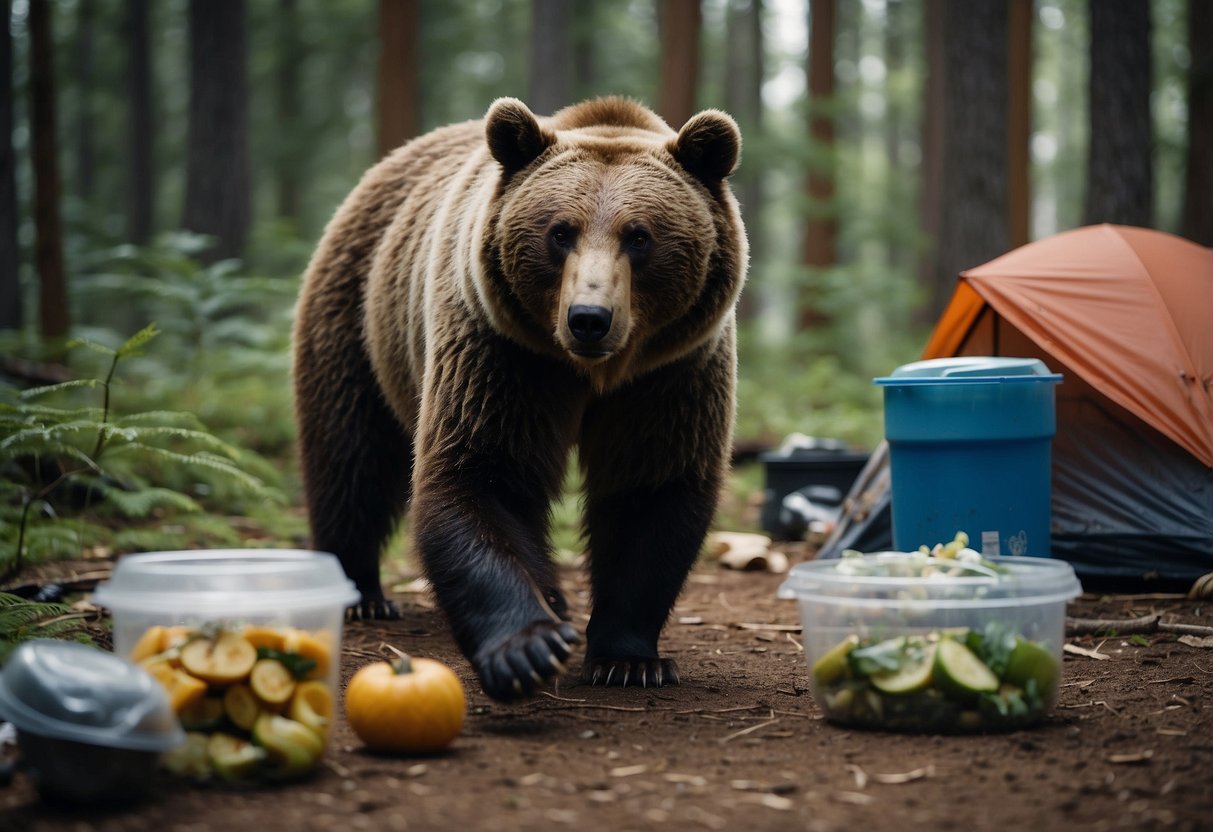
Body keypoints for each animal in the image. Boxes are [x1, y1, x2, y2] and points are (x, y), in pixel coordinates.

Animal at [293, 94, 747, 698]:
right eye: (560, 231)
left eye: (639, 235)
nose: (589, 318)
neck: (591, 373)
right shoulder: (503, 352)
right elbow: (482, 472)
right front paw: (527, 645)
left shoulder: (668, 373)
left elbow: (650, 490)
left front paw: (628, 659)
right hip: (359, 318)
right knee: (350, 454)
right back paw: (363, 592)